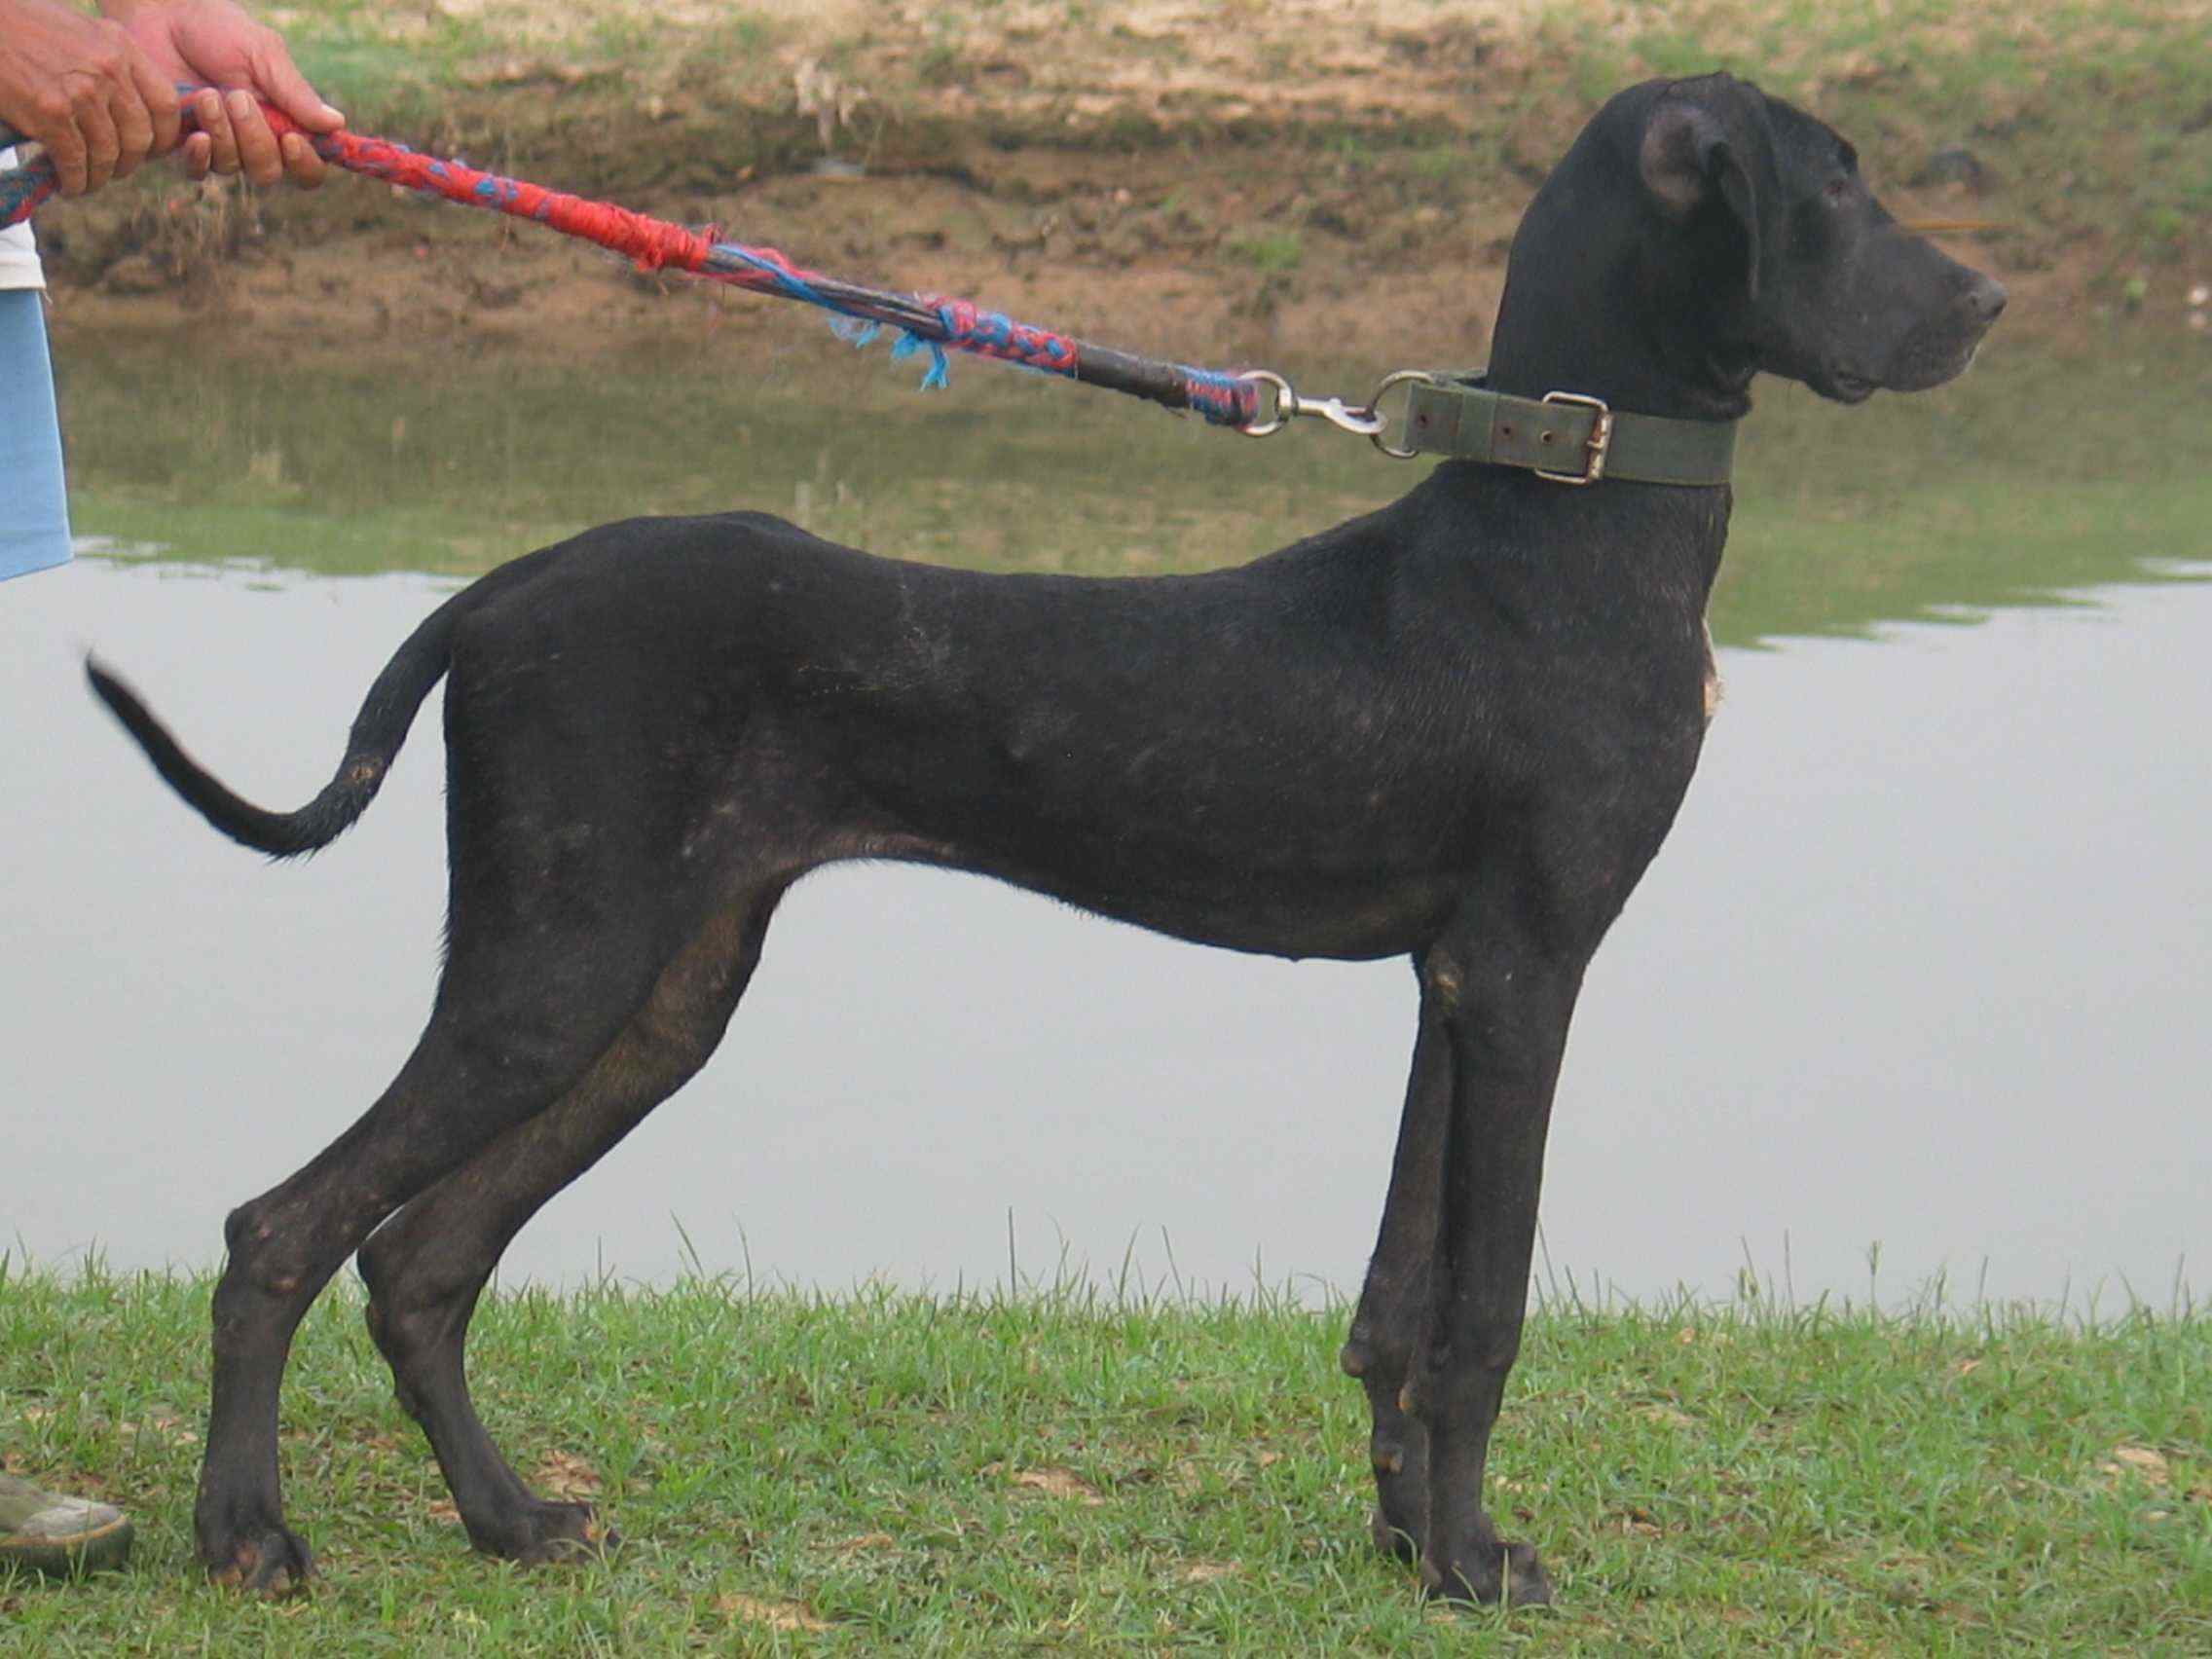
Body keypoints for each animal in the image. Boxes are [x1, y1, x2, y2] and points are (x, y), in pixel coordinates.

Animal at [86, 71, 2008, 1601]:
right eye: (1835, 183)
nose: (1991, 297)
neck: (1568, 503)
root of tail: (493, 594)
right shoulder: (1528, 971)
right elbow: (1483, 1311)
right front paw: (1472, 1560)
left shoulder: (1443, 979)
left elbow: (1395, 1305)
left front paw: (1408, 1546)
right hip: (554, 968)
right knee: (281, 1227)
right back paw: (245, 1534)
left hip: (658, 995)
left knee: (419, 1257)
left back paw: (506, 1519)